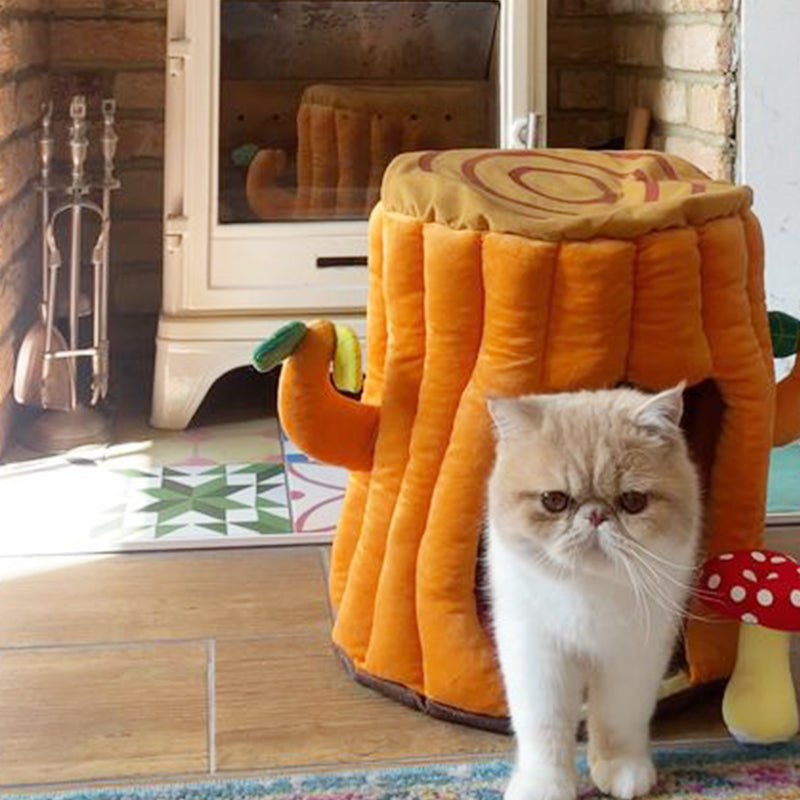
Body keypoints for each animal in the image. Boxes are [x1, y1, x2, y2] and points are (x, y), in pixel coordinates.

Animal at [482, 386, 700, 800]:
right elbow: (544, 727)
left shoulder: (632, 656)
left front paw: (621, 768)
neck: (588, 587)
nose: (596, 515)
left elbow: (620, 717)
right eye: (554, 500)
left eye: (633, 502)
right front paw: (544, 784)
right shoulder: (537, 653)